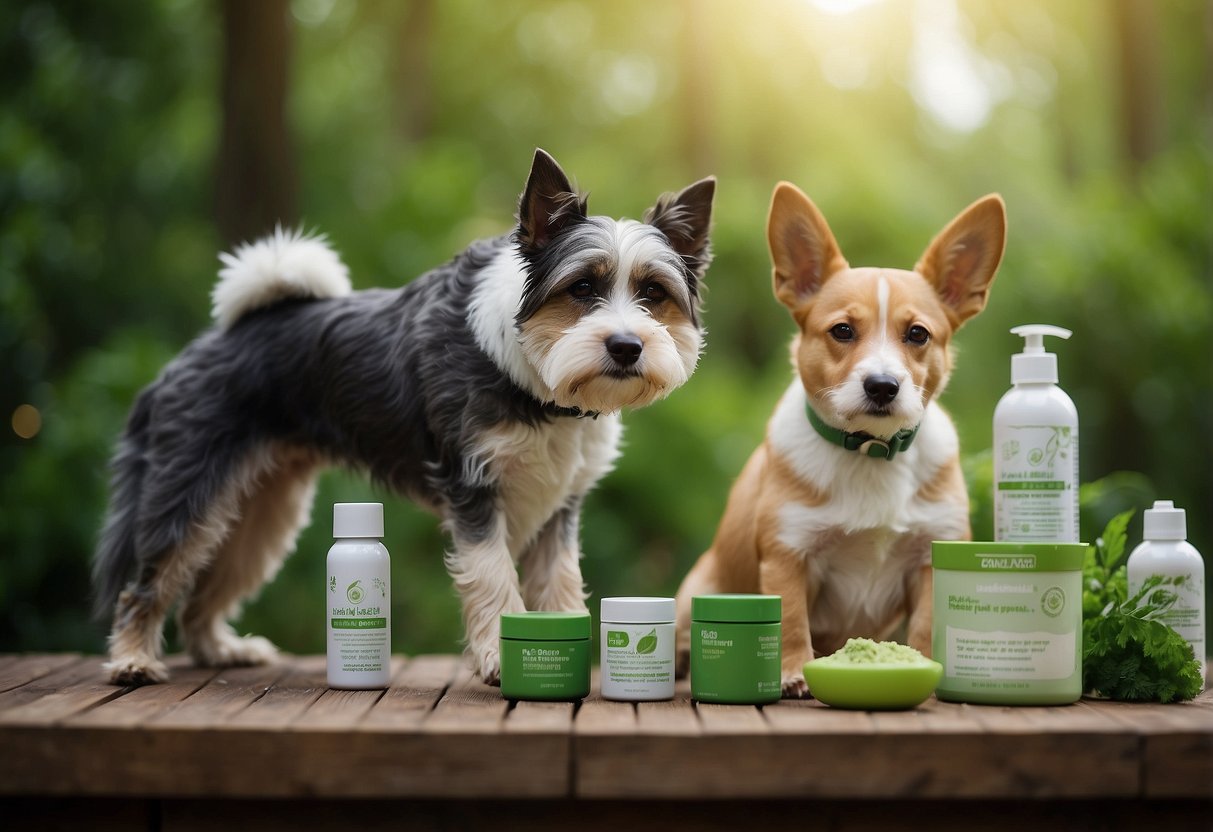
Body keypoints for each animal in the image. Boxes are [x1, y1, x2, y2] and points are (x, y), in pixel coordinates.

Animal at [674, 181, 1004, 698]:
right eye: (842, 330)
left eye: (918, 334)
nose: (882, 386)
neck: (871, 451)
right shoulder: (789, 553)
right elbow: (790, 620)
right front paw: (792, 672)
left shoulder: (929, 559)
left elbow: (926, 624)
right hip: (694, 594)